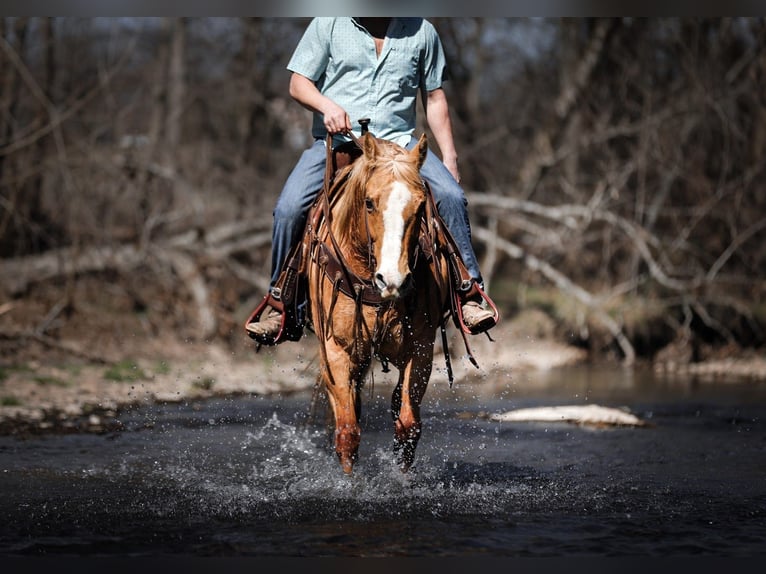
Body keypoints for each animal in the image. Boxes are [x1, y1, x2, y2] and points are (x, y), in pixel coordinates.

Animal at [305, 132, 452, 474]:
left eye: (420, 205)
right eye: (369, 202)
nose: (393, 280)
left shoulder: (420, 349)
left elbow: (407, 425)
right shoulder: (336, 351)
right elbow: (347, 431)